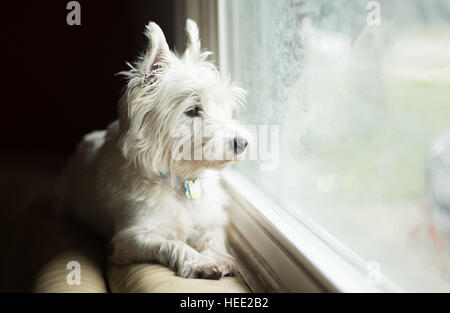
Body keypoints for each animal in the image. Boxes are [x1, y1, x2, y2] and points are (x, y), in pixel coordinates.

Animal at [55, 19, 250, 278]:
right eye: (193, 110)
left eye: (222, 107)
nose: (243, 143)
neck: (178, 180)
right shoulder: (132, 238)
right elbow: (172, 243)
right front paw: (201, 262)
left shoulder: (209, 220)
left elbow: (212, 237)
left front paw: (219, 257)